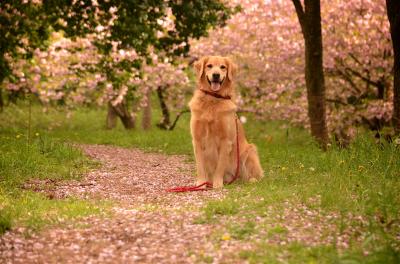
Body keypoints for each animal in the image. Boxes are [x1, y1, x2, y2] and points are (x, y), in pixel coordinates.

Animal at [189, 55, 264, 188]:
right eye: (209, 66)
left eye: (223, 67)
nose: (216, 75)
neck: (213, 98)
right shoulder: (197, 140)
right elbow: (200, 166)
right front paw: (201, 183)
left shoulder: (226, 140)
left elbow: (220, 166)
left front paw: (217, 184)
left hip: (249, 151)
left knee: (253, 175)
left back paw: (250, 180)